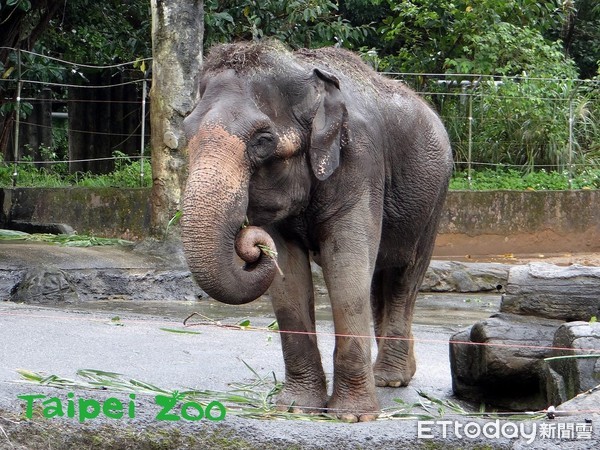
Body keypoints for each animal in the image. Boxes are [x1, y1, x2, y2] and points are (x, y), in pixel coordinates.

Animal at [180, 39, 452, 422]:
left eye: (262, 140)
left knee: (404, 275)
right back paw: (391, 374)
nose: (251, 243)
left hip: (433, 201)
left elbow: (347, 266)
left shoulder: (360, 161)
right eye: (186, 133)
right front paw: (297, 408)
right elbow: (288, 274)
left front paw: (352, 417)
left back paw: (390, 379)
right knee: (379, 278)